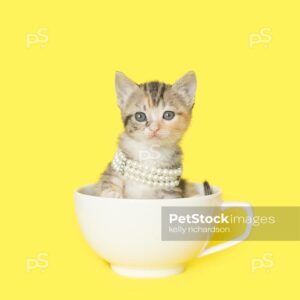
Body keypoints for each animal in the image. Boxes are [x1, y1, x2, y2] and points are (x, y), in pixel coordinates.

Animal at [95, 71, 199, 199]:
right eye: (140, 116)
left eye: (168, 115)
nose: (154, 128)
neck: (150, 152)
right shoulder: (112, 171)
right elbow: (108, 180)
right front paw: (112, 194)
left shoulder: (172, 190)